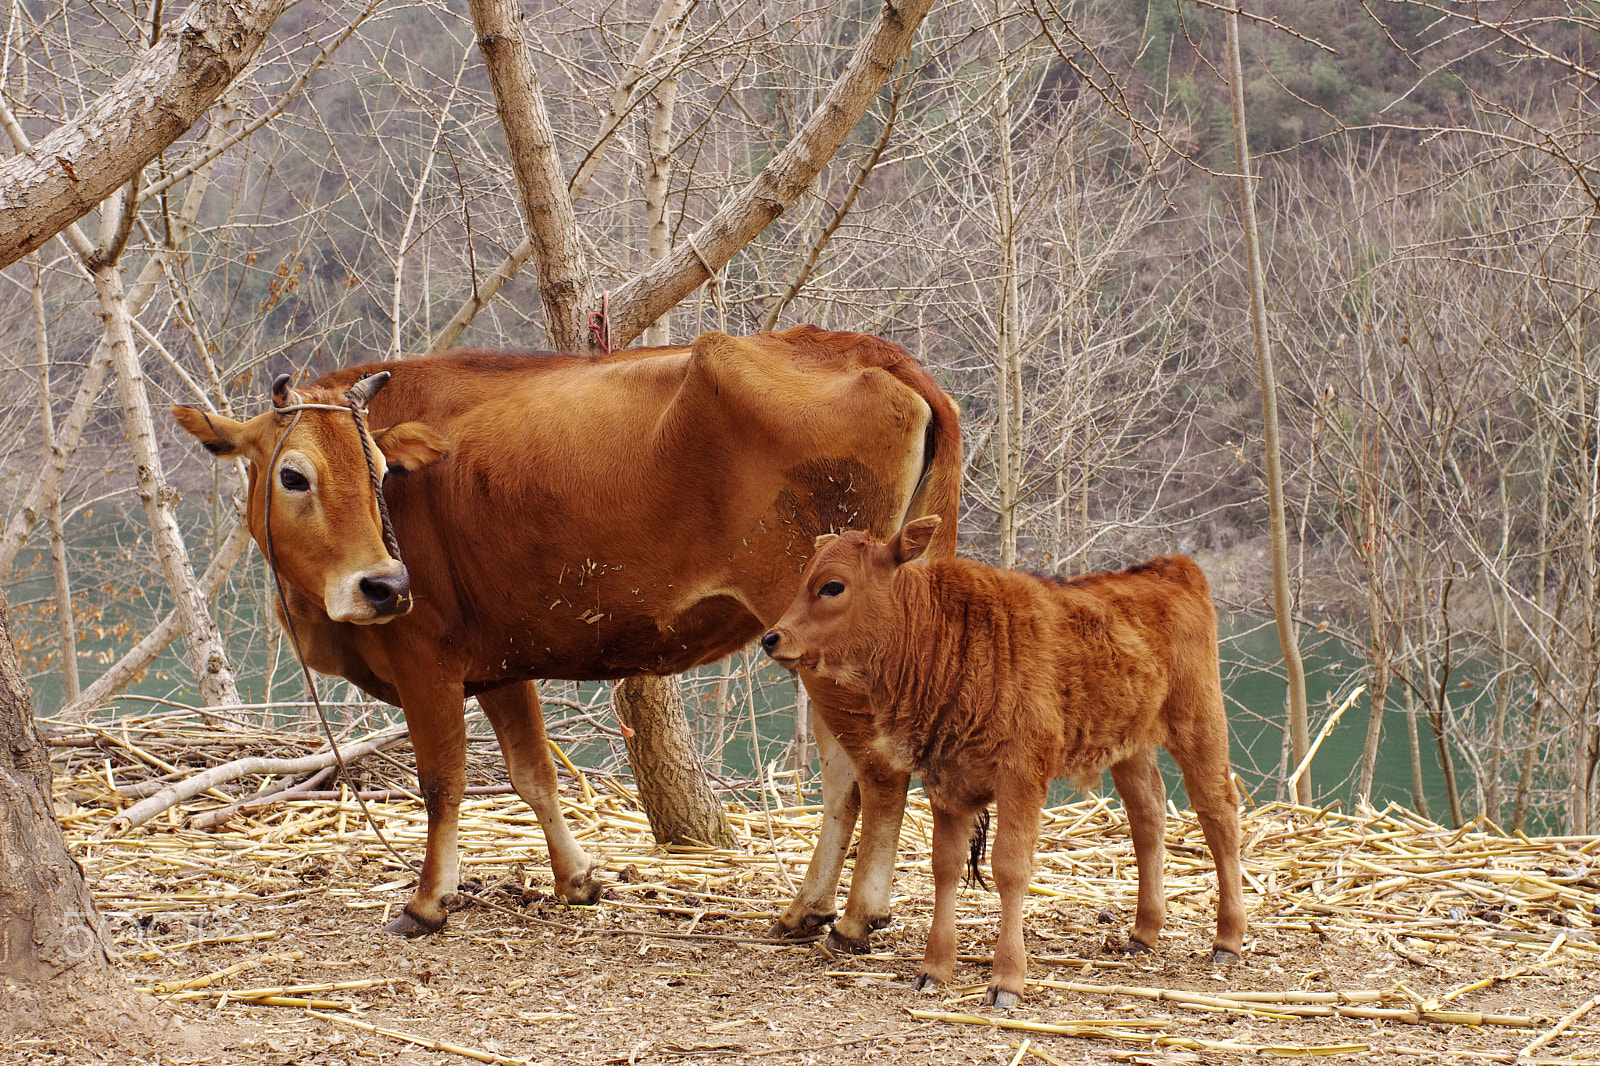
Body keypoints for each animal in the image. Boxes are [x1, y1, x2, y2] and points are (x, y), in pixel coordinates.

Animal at [175, 328, 953, 934]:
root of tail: (869, 349)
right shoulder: (499, 664)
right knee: (856, 771)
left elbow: (444, 782)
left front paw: (428, 903)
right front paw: (577, 879)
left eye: (379, 471)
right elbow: (534, 776)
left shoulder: (426, 657)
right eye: (293, 476)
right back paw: (813, 911)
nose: (386, 587)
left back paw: (849, 916)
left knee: (870, 770)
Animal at [761, 515, 1248, 1005]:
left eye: (832, 586)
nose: (770, 638)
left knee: (1218, 814)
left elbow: (1010, 868)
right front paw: (934, 969)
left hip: (1199, 725)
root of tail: (1171, 568)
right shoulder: (946, 782)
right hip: (1130, 745)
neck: (945, 634)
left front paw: (1007, 980)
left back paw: (1228, 940)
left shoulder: (1021, 778)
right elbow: (945, 866)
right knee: (1148, 817)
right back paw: (1143, 934)